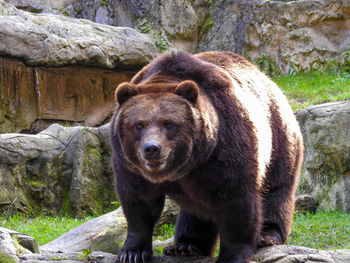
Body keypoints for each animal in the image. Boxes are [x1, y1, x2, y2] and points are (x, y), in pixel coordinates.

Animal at [110, 51, 304, 263]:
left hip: (278, 138)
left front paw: (233, 254)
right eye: (139, 124)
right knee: (195, 209)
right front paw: (132, 252)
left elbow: (236, 201)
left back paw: (267, 235)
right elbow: (138, 201)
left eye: (169, 123)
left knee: (276, 190)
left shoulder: (225, 148)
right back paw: (185, 246)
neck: (185, 166)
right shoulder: (129, 165)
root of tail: (270, 82)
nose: (152, 148)